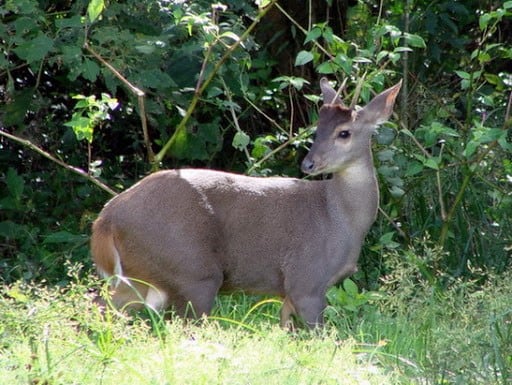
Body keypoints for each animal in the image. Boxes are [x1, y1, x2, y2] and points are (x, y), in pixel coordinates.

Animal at [90, 79, 402, 328]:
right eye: (317, 129)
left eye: (343, 132)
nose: (309, 164)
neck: (341, 218)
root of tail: (105, 219)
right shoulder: (307, 278)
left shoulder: (289, 290)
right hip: (192, 269)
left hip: (141, 273)